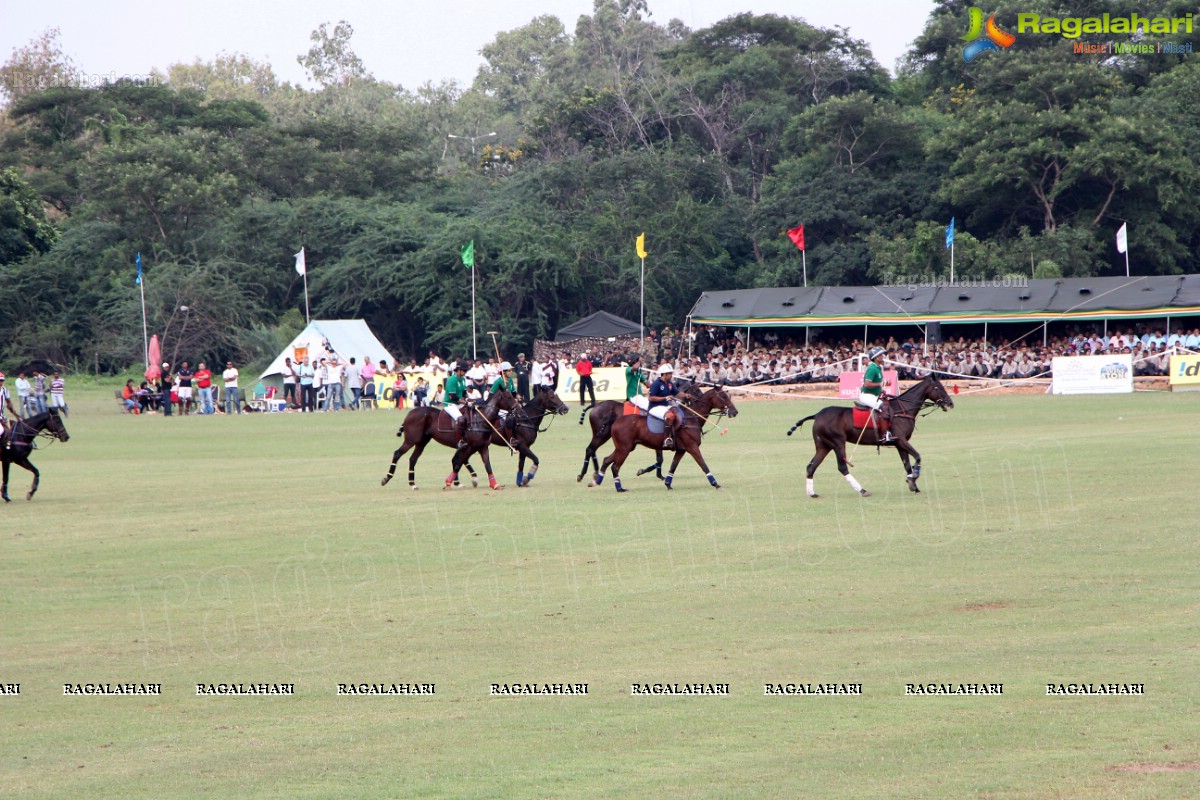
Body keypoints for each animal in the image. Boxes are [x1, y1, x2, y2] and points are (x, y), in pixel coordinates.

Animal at [381, 388, 518, 491]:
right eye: (508, 397)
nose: (518, 408)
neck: (481, 420)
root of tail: (409, 414)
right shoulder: (468, 447)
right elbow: (457, 463)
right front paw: (448, 483)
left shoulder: (483, 448)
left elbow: (487, 465)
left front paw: (494, 484)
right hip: (411, 440)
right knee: (397, 453)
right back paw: (386, 478)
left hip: (422, 442)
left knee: (413, 459)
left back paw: (412, 484)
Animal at [592, 383, 734, 491]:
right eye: (723, 396)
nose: (735, 411)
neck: (692, 418)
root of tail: (615, 421)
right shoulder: (692, 447)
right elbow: (703, 465)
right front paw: (716, 484)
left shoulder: (681, 450)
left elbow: (673, 466)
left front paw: (668, 484)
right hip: (624, 448)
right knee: (614, 466)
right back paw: (619, 488)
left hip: (624, 447)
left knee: (606, 459)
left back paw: (596, 481)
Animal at [787, 371, 955, 496]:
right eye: (940, 387)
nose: (950, 403)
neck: (903, 409)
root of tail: (817, 415)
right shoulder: (901, 440)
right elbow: (918, 456)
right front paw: (914, 477)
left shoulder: (899, 443)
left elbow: (907, 464)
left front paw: (913, 485)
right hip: (837, 443)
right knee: (842, 467)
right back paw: (862, 490)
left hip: (823, 445)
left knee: (811, 466)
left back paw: (812, 493)